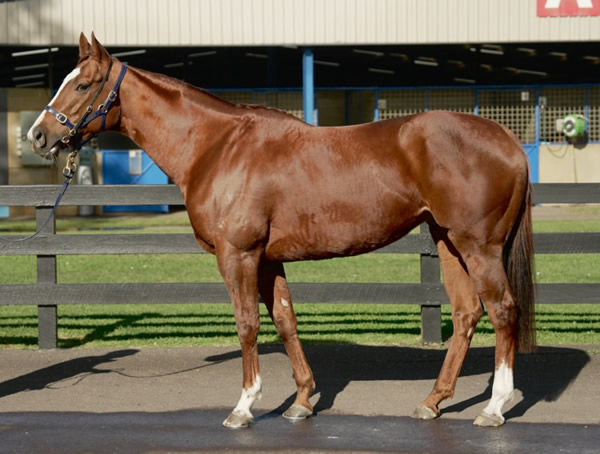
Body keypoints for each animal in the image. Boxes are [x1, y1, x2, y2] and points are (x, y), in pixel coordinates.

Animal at [29, 34, 536, 430]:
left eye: (82, 83)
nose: (37, 136)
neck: (218, 147)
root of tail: (508, 141)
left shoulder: (238, 255)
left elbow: (248, 325)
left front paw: (244, 406)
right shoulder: (269, 259)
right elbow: (286, 322)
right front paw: (301, 402)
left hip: (478, 246)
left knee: (502, 311)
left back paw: (494, 407)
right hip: (447, 241)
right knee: (467, 313)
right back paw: (433, 402)